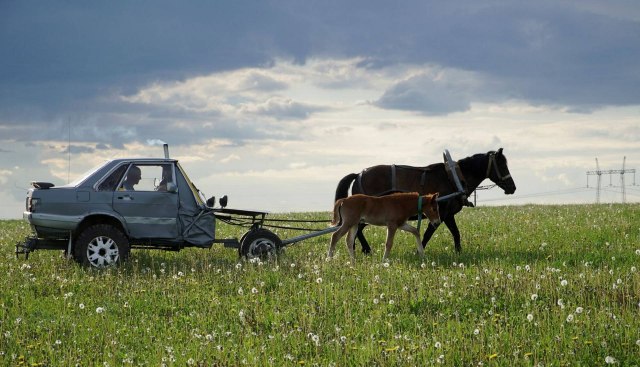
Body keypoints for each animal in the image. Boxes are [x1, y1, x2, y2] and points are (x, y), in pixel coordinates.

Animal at [336, 149, 516, 253]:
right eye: (502, 165)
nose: (512, 187)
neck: (453, 178)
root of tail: (359, 174)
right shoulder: (440, 214)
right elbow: (429, 234)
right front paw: (419, 251)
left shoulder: (448, 215)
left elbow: (456, 233)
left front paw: (458, 252)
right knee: (357, 229)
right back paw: (364, 249)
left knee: (356, 229)